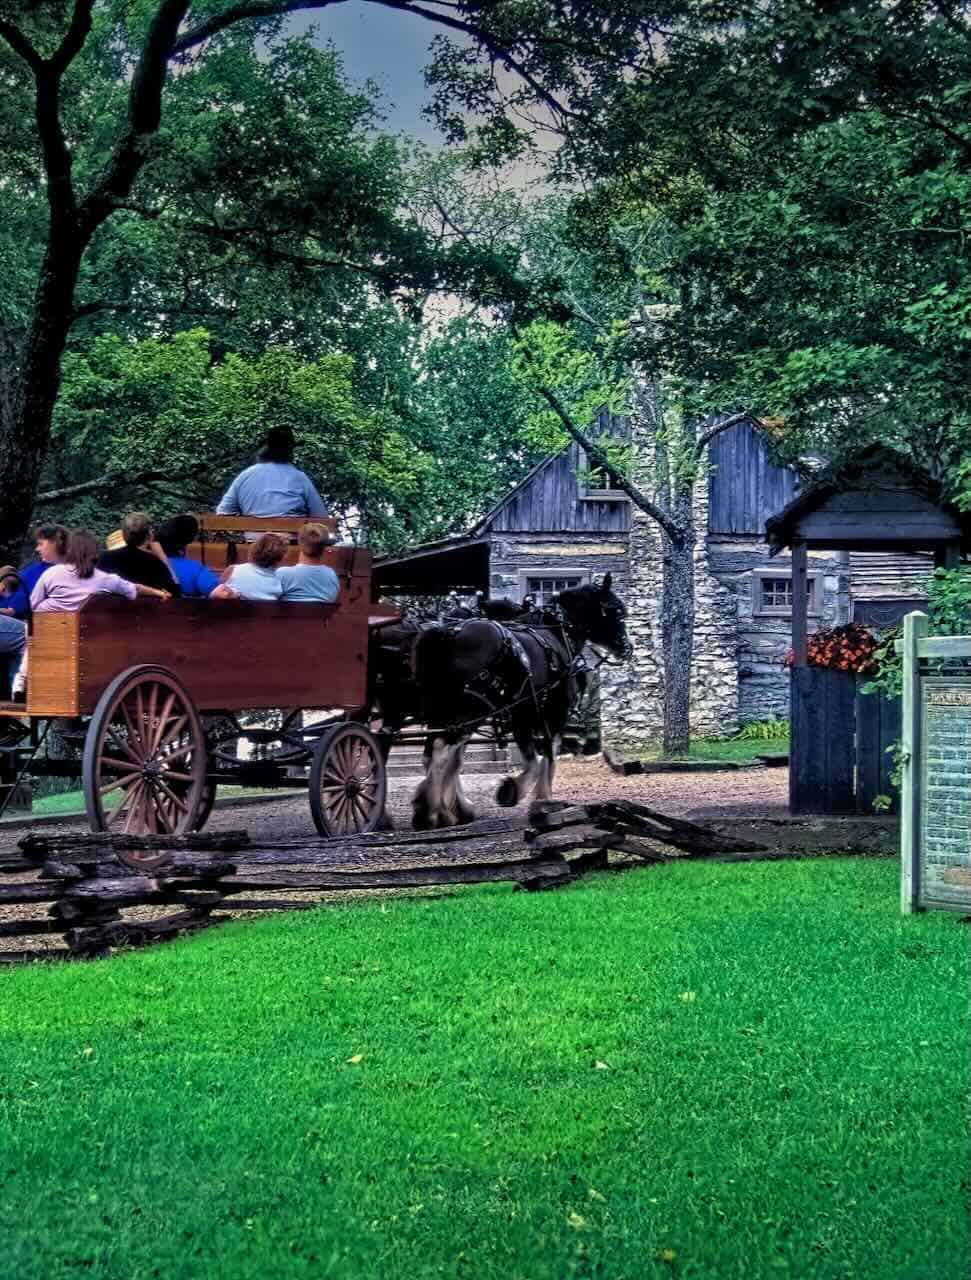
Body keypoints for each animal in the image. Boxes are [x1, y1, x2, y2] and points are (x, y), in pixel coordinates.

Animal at [409, 573, 629, 829]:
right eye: (616, 610)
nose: (627, 647)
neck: (558, 635)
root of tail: (450, 633)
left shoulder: (521, 715)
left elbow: (534, 758)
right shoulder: (549, 715)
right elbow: (546, 758)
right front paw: (533, 797)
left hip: (445, 710)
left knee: (434, 753)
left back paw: (435, 809)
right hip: (469, 711)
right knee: (440, 751)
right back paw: (432, 813)